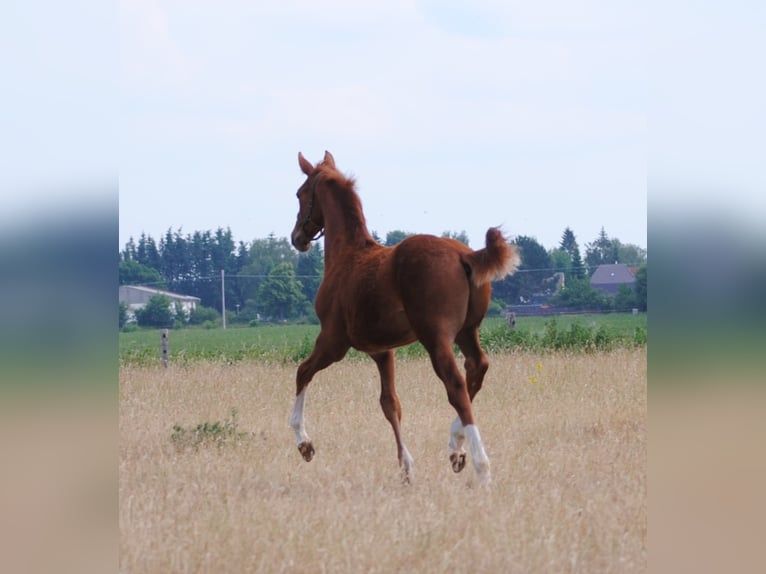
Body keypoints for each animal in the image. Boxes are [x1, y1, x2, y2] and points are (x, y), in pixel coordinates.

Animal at [289, 151, 520, 485]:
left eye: (300, 193)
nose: (297, 237)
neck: (347, 256)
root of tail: (465, 255)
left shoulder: (333, 341)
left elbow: (302, 372)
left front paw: (304, 443)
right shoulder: (382, 350)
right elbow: (390, 403)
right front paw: (406, 467)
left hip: (435, 337)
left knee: (456, 385)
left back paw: (481, 466)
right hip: (468, 331)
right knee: (477, 367)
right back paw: (456, 448)